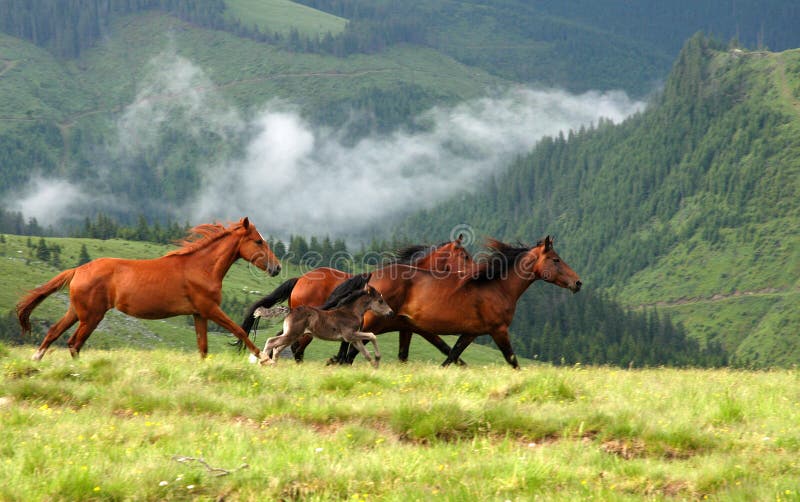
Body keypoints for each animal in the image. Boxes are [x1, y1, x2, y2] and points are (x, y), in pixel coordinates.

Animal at [16, 217, 282, 360]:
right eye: (258, 241)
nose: (277, 268)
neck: (201, 268)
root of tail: (77, 270)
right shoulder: (210, 309)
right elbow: (239, 331)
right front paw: (263, 359)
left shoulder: (199, 314)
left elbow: (203, 348)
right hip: (92, 316)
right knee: (74, 343)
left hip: (77, 312)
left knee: (54, 332)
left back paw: (36, 358)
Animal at [258, 282, 392, 368]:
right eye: (380, 301)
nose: (391, 312)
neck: (351, 312)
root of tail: (290, 310)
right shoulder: (350, 335)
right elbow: (372, 335)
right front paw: (378, 359)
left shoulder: (354, 339)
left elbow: (365, 353)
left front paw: (375, 365)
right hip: (291, 334)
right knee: (271, 342)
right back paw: (262, 363)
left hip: (293, 335)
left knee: (277, 348)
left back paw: (273, 365)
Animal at [332, 235, 580, 368]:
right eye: (556, 260)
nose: (578, 283)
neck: (497, 287)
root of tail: (372, 276)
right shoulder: (498, 330)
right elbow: (513, 361)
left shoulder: (470, 332)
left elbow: (451, 356)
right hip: (374, 323)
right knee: (350, 353)